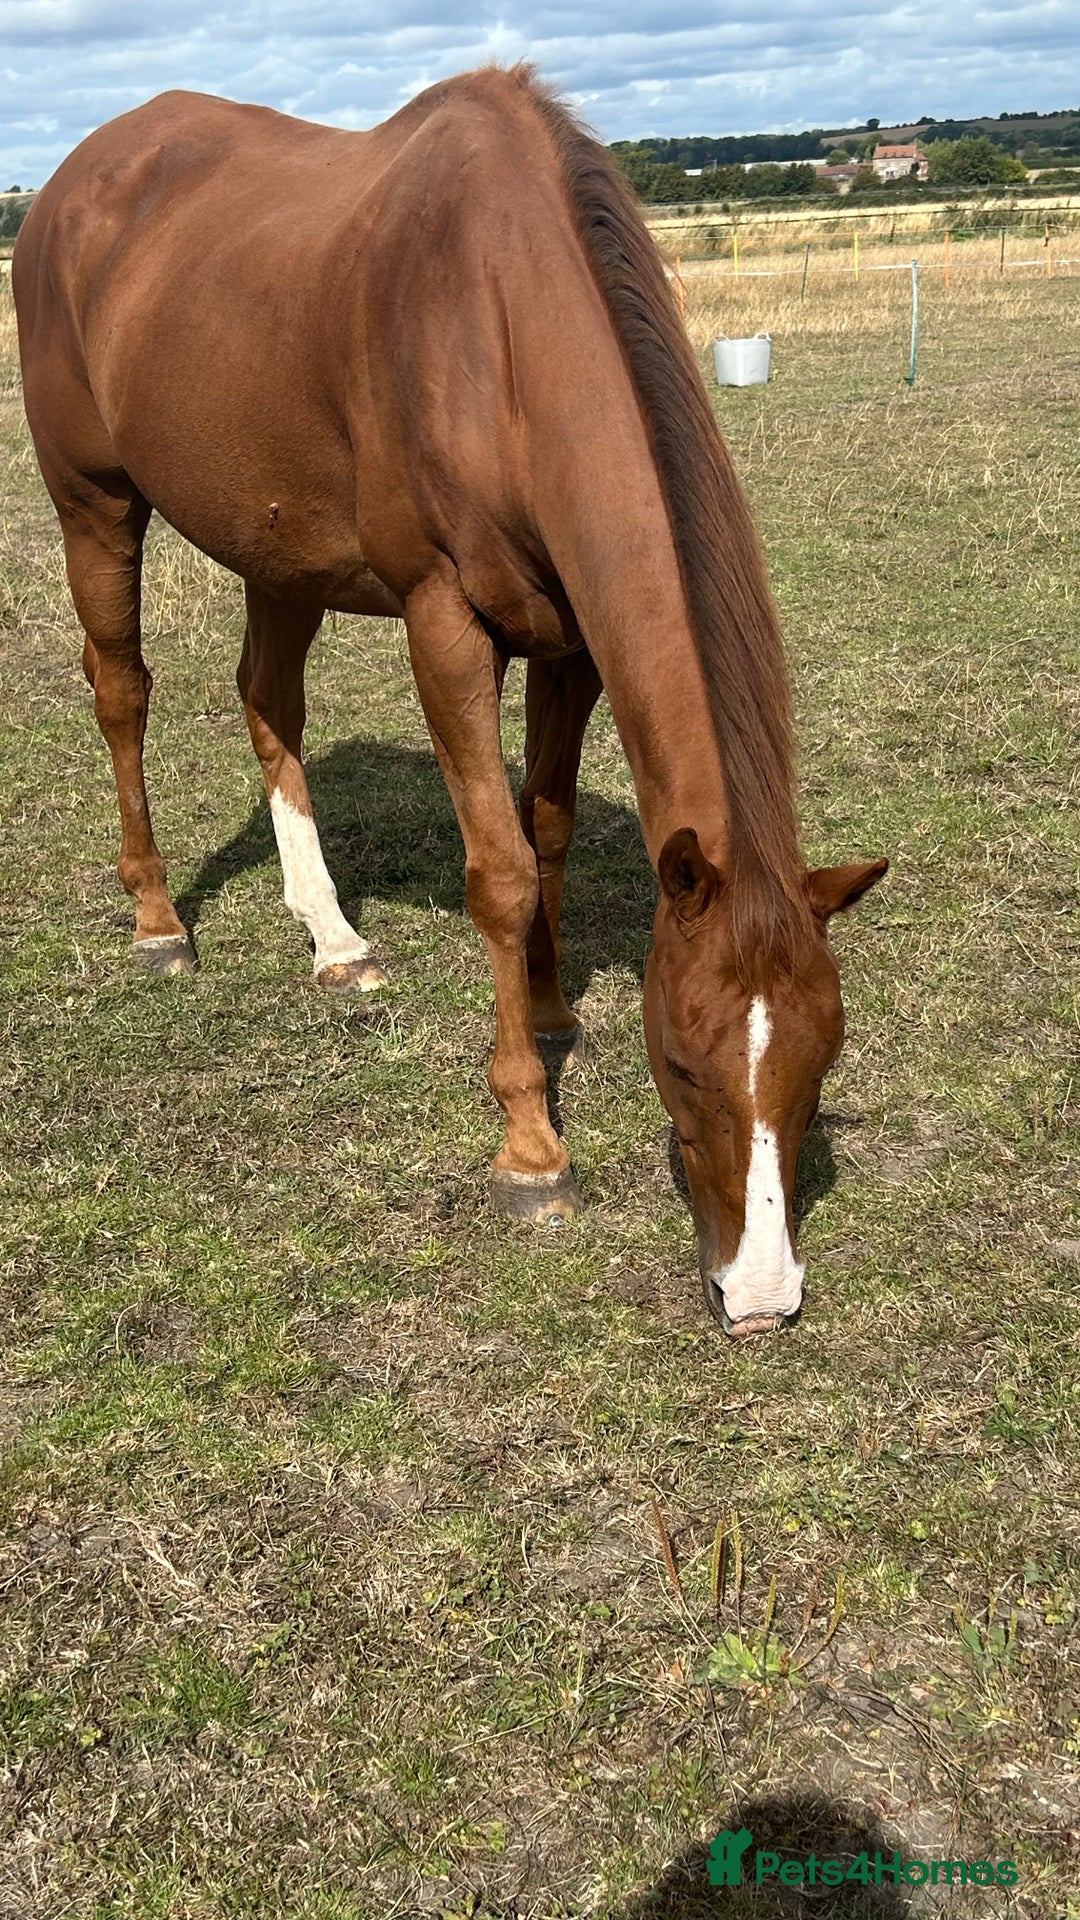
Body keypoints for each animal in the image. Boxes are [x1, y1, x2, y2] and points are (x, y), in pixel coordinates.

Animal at [13, 66, 887, 1336]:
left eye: (820, 1062)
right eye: (683, 1063)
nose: (762, 1296)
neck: (500, 331)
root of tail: (76, 180)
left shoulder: (569, 643)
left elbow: (551, 828)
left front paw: (555, 1003)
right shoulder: (446, 626)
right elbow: (501, 869)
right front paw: (531, 1141)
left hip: (277, 550)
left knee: (268, 702)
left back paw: (332, 936)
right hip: (97, 504)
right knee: (122, 694)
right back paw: (160, 919)